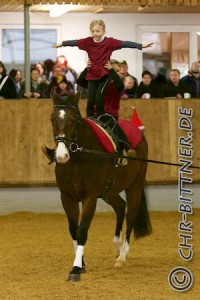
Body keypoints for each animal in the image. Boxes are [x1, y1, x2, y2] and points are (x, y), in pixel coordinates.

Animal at [49, 93, 152, 282]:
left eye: (74, 119)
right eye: (52, 119)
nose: (61, 156)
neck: (78, 160)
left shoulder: (90, 198)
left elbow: (82, 231)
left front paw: (75, 269)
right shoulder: (67, 197)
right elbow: (73, 230)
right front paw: (81, 264)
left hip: (135, 185)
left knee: (131, 215)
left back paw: (122, 256)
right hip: (109, 192)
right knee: (120, 207)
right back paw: (117, 246)